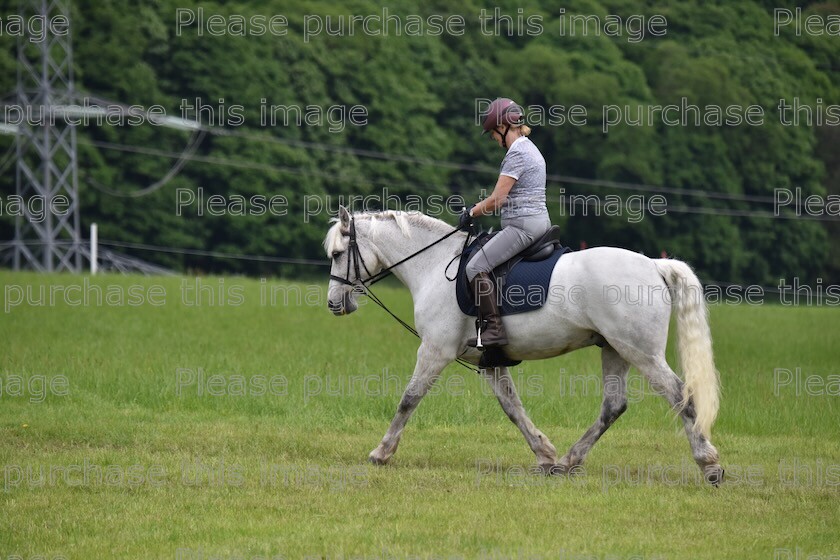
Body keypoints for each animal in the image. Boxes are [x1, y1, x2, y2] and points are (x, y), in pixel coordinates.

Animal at [324, 208, 724, 484]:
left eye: (338, 253)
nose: (333, 304)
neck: (434, 267)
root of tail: (654, 265)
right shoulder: (490, 361)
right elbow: (512, 407)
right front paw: (544, 455)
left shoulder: (435, 350)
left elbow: (409, 398)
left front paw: (381, 452)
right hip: (615, 349)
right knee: (614, 405)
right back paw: (568, 462)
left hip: (641, 352)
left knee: (680, 395)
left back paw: (709, 463)